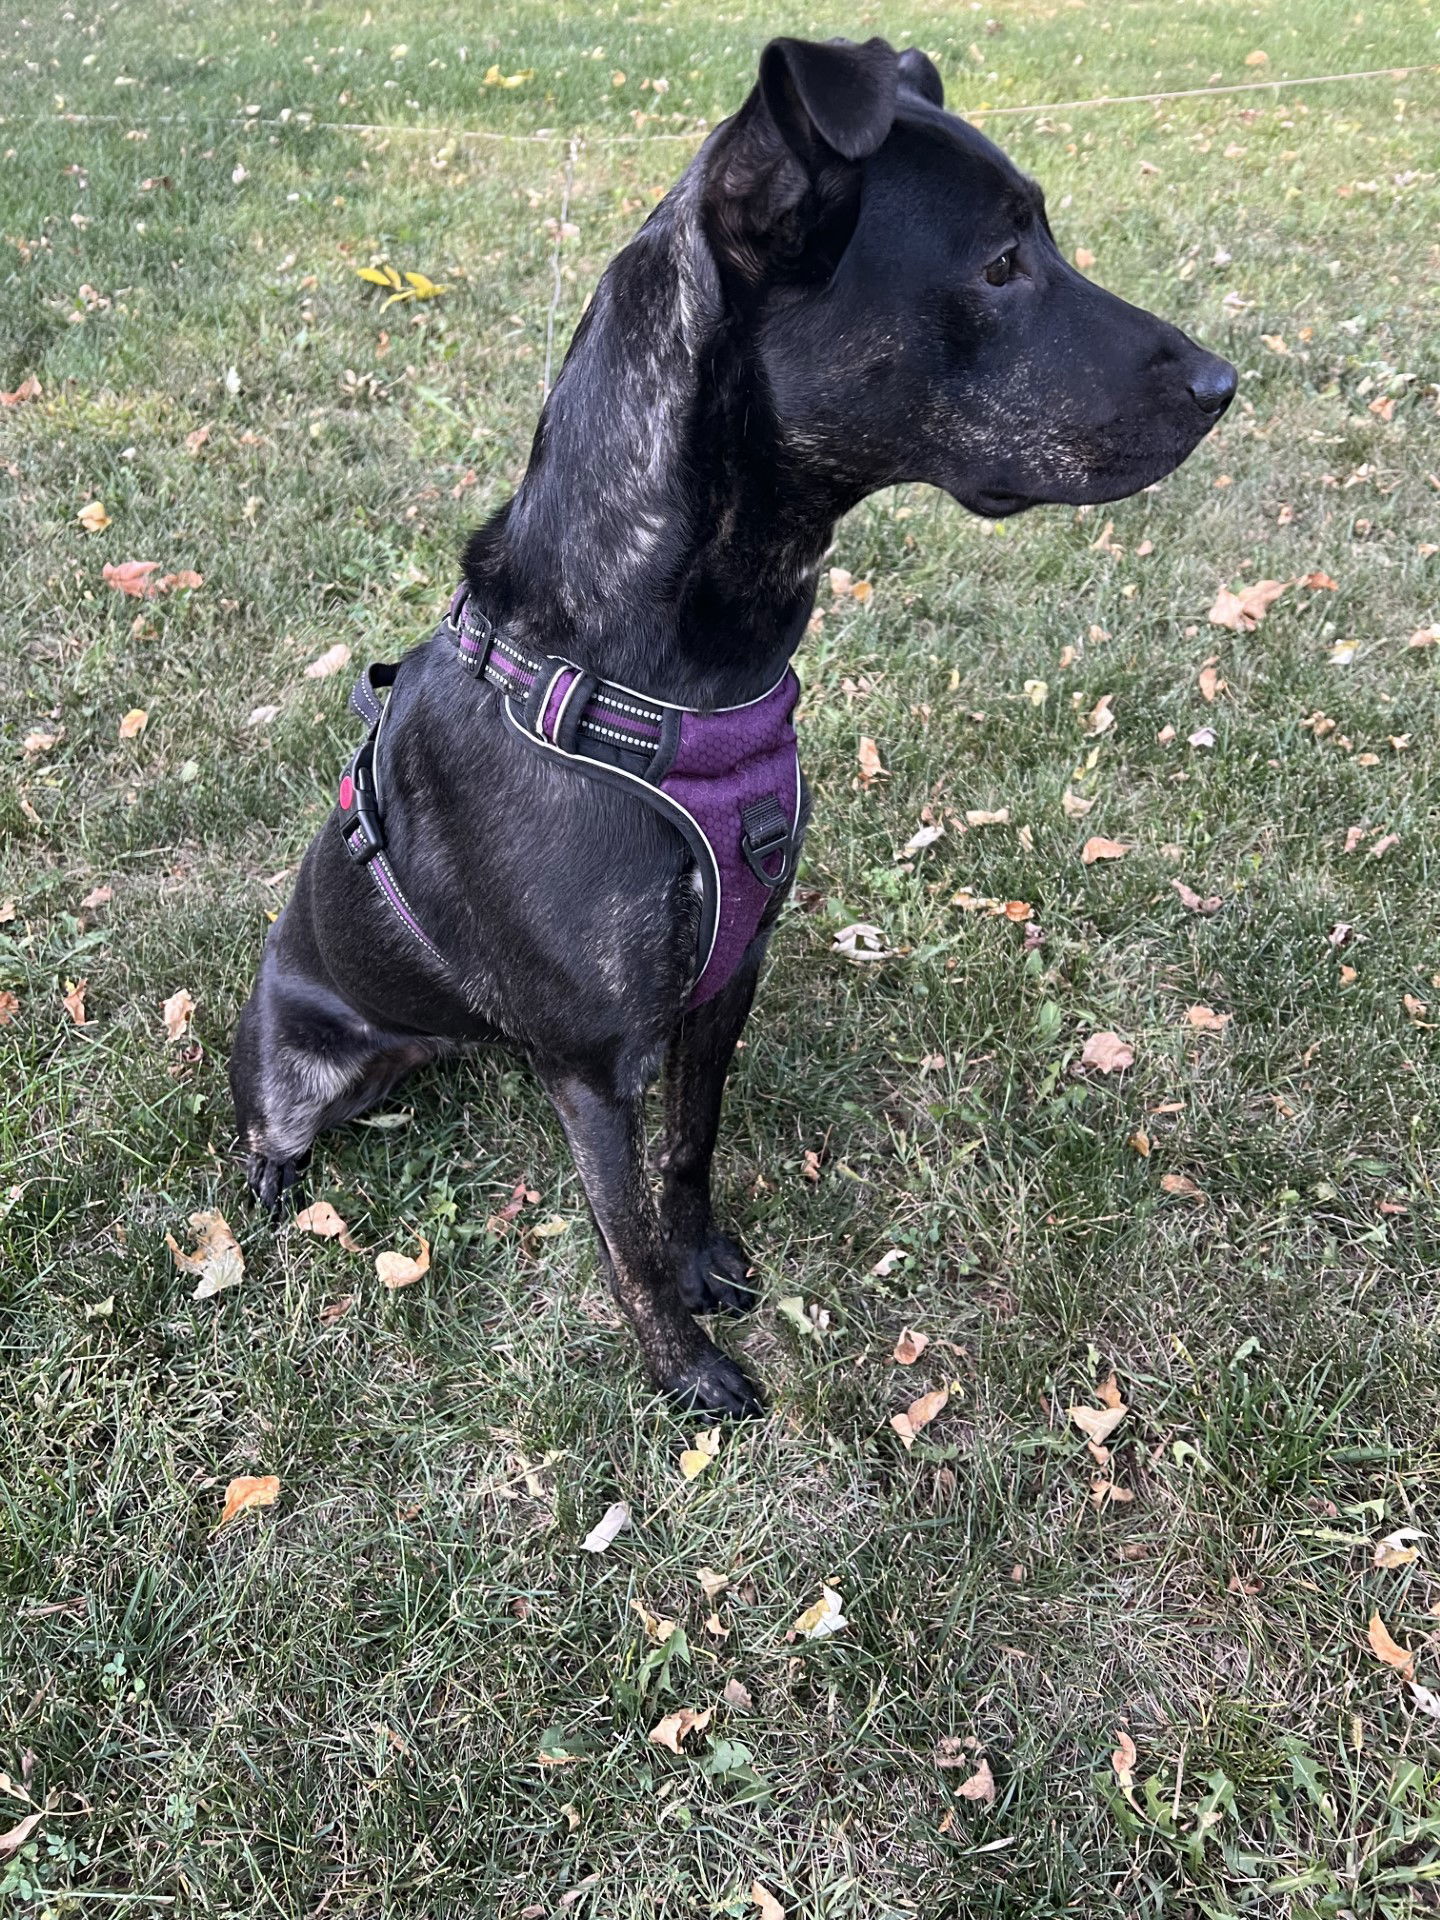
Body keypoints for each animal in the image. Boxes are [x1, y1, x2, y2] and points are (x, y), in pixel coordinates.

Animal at [231, 33, 1236, 1413]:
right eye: (999, 263)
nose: (1226, 385)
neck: (656, 672)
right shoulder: (592, 1069)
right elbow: (624, 1244)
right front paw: (685, 1370)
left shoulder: (726, 987)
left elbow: (691, 1153)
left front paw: (707, 1261)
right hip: (294, 1059)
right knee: (267, 1126)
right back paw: (270, 1191)